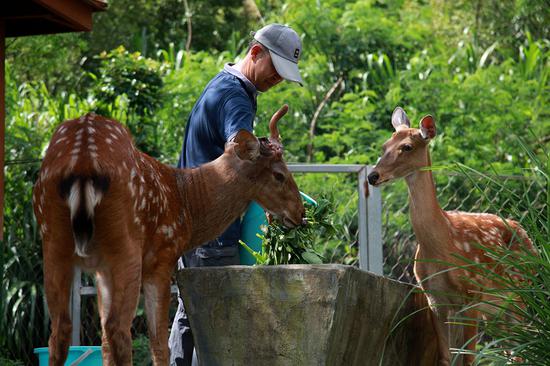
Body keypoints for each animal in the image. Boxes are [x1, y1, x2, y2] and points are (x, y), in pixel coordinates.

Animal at [32, 106, 306, 366]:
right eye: (279, 175)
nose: (301, 213)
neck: (186, 201)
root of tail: (83, 163)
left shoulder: (102, 270)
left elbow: (105, 343)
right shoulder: (162, 258)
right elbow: (159, 342)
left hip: (53, 240)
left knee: (62, 330)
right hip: (125, 245)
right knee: (118, 329)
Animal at [370, 107, 536, 364]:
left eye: (407, 147)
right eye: (384, 146)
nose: (373, 176)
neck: (443, 241)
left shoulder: (472, 293)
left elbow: (468, 357)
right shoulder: (435, 299)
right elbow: (447, 356)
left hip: (521, 292)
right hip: (498, 309)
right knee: (513, 351)